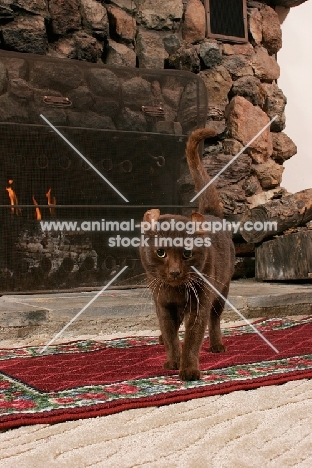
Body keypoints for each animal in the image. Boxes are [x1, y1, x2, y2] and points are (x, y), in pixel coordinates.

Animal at [139, 127, 234, 380]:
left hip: (222, 289)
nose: (174, 271)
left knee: (215, 319)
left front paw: (189, 370)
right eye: (161, 252)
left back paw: (217, 345)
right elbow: (171, 334)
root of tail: (210, 215)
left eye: (187, 253)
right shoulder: (162, 303)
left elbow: (193, 336)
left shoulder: (200, 302)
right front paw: (172, 361)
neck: (176, 292)